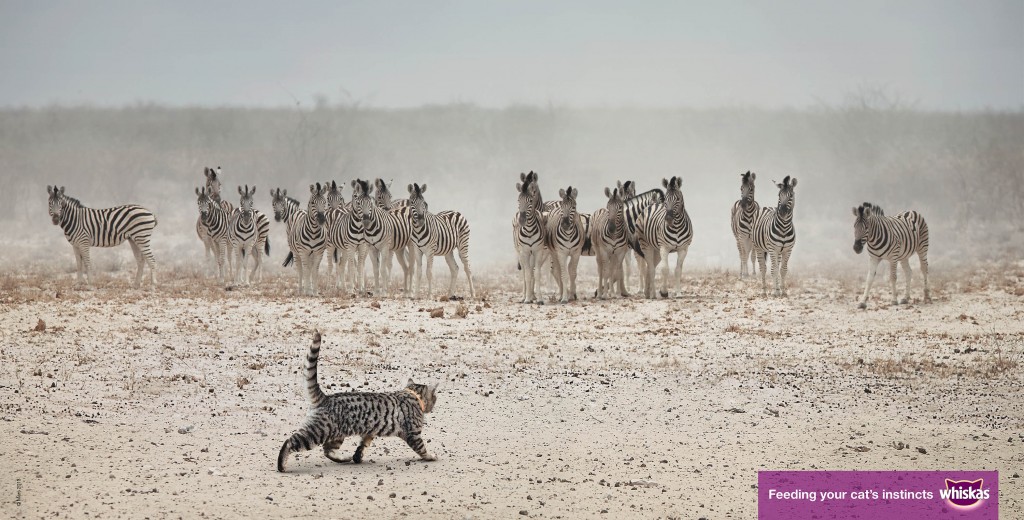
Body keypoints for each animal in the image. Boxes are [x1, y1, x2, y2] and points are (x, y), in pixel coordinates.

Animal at [278, 333, 438, 470]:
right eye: (435, 399)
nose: (433, 406)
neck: (413, 395)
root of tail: (326, 398)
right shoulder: (413, 434)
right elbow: (422, 449)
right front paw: (431, 456)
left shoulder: (369, 433)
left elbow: (362, 446)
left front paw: (357, 456)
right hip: (318, 432)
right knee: (290, 442)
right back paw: (281, 465)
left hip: (337, 435)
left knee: (327, 451)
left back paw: (345, 458)